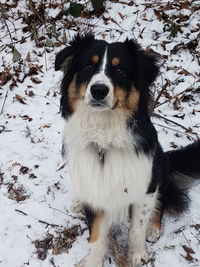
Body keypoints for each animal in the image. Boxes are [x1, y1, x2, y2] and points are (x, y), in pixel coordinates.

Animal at [54, 34, 200, 266]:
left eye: (120, 70)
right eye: (88, 66)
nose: (98, 90)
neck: (104, 138)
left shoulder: (144, 186)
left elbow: (136, 229)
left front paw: (137, 254)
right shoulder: (95, 189)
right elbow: (96, 237)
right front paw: (93, 261)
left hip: (159, 170)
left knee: (163, 199)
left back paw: (153, 228)